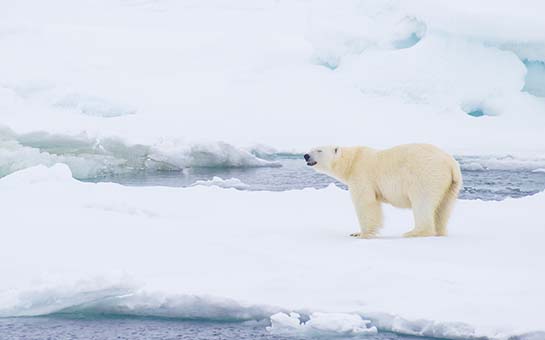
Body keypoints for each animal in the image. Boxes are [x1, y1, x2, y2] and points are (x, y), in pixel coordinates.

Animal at [304, 145, 462, 238]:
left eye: (319, 150)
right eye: (311, 148)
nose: (306, 155)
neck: (352, 161)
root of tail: (452, 164)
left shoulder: (362, 174)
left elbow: (366, 203)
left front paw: (362, 234)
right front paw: (356, 233)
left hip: (427, 175)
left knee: (422, 203)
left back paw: (414, 232)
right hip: (451, 185)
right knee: (443, 208)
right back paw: (440, 232)